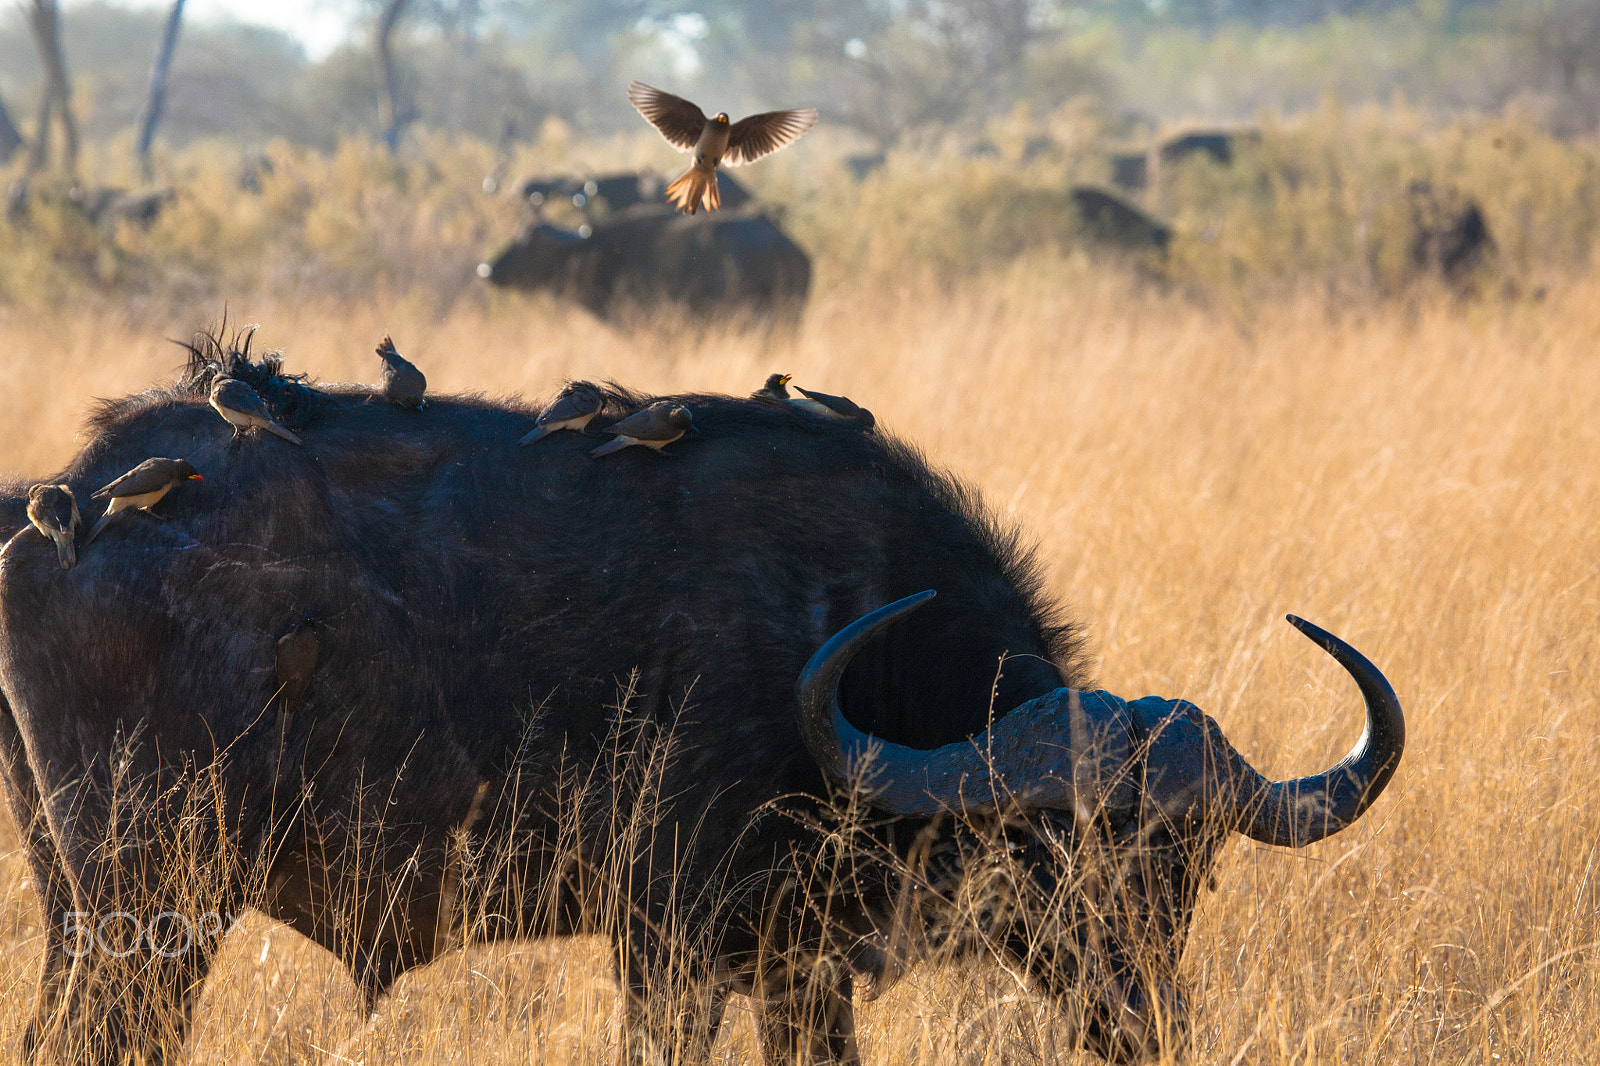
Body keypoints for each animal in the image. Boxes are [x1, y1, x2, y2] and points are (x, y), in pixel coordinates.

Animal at [0, 341, 1403, 1063]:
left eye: (1190, 868)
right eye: (1044, 846)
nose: (1138, 1016)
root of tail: (55, 509)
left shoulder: (797, 964)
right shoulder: (666, 944)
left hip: (87, 910)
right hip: (151, 911)